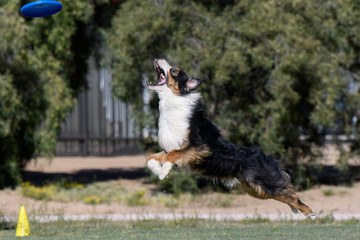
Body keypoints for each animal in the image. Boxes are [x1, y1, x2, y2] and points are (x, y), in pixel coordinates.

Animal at [146, 56, 316, 219]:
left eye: (174, 71)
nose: (158, 57)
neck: (174, 100)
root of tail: (266, 156)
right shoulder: (172, 147)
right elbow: (151, 158)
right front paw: (159, 170)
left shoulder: (198, 147)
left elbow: (173, 155)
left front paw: (163, 172)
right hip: (257, 190)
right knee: (286, 195)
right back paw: (298, 210)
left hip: (265, 183)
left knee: (291, 194)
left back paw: (311, 214)